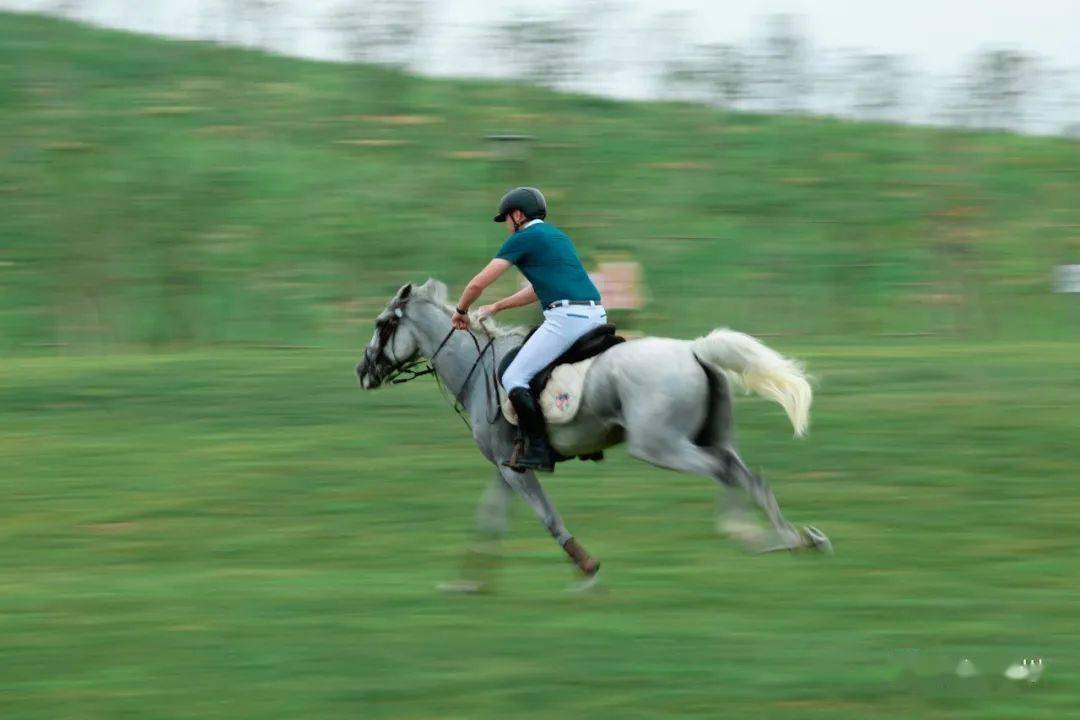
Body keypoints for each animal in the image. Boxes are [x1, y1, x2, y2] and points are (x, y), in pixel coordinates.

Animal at [358, 280, 829, 591]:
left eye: (382, 325)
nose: (363, 372)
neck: (478, 370)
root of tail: (695, 350)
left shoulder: (513, 470)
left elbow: (547, 518)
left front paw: (585, 568)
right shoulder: (507, 466)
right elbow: (490, 516)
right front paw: (469, 583)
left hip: (659, 445)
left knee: (726, 473)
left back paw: (753, 535)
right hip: (709, 437)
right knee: (747, 476)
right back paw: (794, 539)